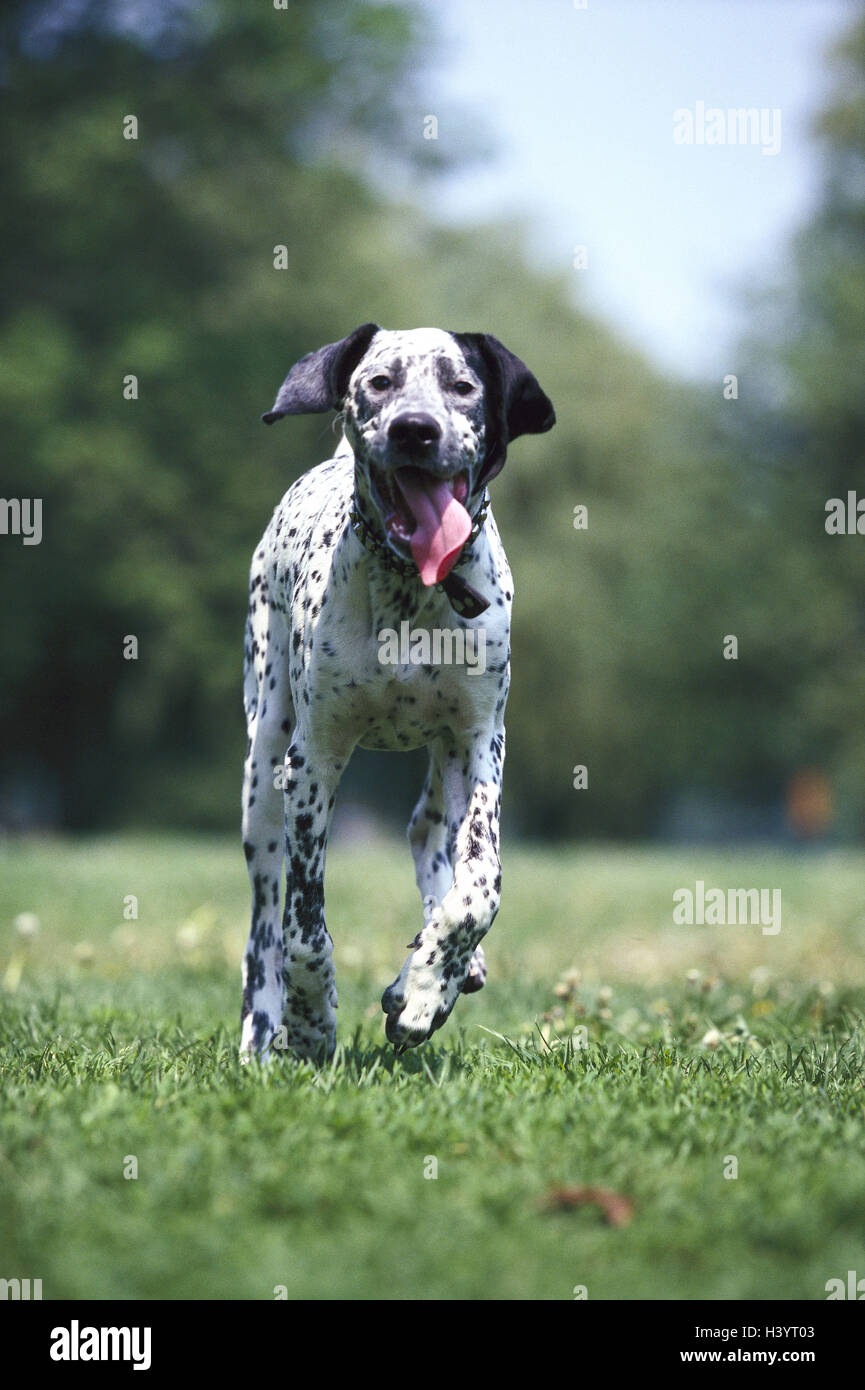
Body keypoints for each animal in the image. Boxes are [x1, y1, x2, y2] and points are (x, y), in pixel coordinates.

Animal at [240, 325, 559, 1056]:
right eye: (379, 383)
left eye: (462, 386)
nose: (415, 429)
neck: (414, 586)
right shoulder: (313, 762)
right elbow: (304, 926)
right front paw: (309, 1018)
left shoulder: (477, 746)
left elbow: (478, 888)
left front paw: (425, 988)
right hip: (263, 774)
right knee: (265, 922)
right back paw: (262, 1029)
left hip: (446, 763)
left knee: (425, 833)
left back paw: (448, 968)